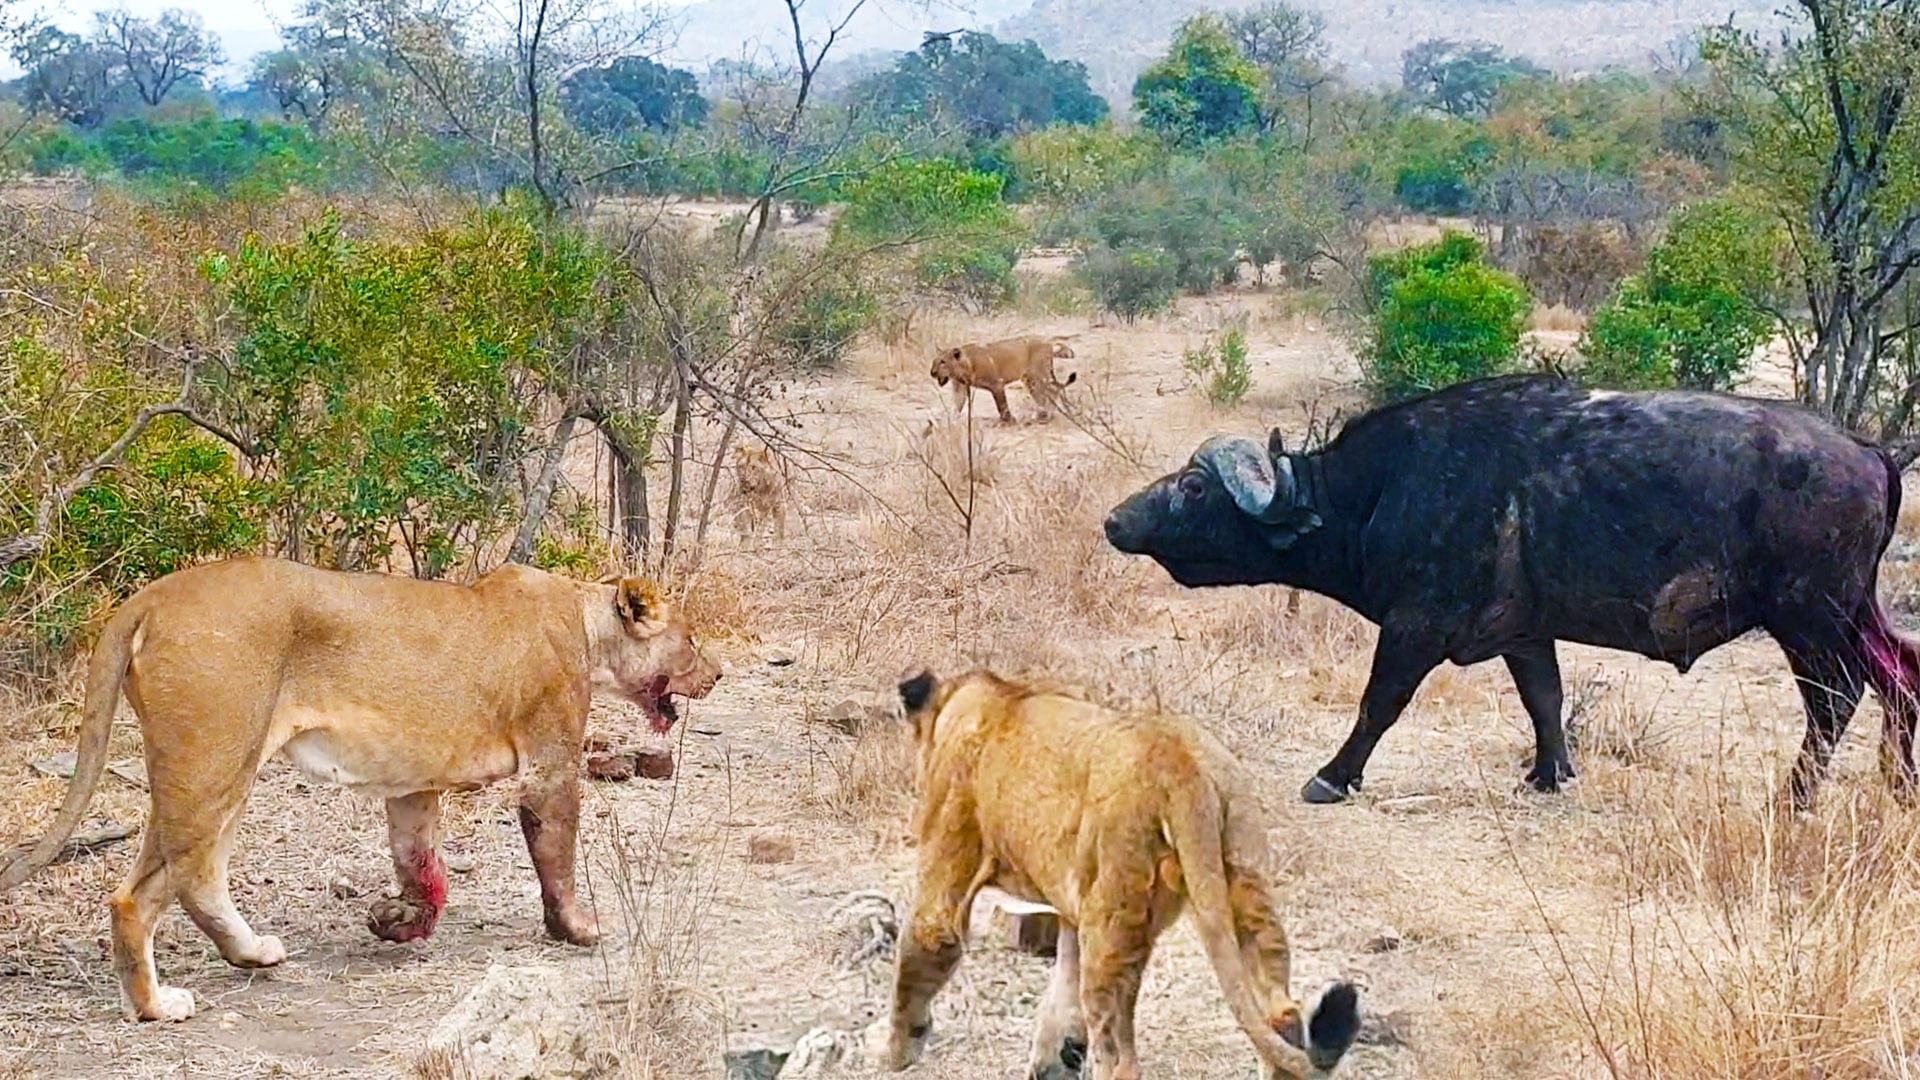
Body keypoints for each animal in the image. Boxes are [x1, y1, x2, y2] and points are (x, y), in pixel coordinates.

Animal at [0, 556, 720, 1023]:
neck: (585, 621)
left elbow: (420, 861)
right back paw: (160, 1004)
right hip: (216, 759)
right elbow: (558, 854)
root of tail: (149, 598)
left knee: (176, 877)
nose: (718, 672)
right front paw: (577, 929)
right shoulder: (550, 762)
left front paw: (399, 923)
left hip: (205, 768)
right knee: (160, 887)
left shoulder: (413, 785)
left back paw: (244, 956)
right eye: (690, 640)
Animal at [882, 669, 1360, 1080]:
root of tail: (1181, 767)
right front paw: (1053, 1063)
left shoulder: (948, 870)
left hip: (1112, 919)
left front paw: (895, 1055)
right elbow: (1061, 996)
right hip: (1244, 882)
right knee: (1281, 1013)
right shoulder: (1072, 908)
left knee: (1120, 1060)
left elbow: (920, 952)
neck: (979, 696)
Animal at [930, 336, 1078, 423]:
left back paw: (1043, 415)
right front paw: (951, 421)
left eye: (943, 362)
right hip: (1032, 378)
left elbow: (1002, 405)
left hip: (1036, 377)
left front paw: (1009, 420)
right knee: (1053, 389)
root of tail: (1048, 343)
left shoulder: (997, 383)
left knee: (1050, 390)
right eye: (934, 361)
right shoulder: (959, 388)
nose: (932, 373)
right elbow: (957, 405)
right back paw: (1048, 414)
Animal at [1104, 374, 1920, 808]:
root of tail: (1867, 450)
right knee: (1900, 678)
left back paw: (1795, 798)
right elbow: (1546, 701)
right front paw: (1550, 774)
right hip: (1857, 610)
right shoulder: (1528, 636)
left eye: (1194, 486)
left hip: (1808, 618)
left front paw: (1332, 777)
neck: (1376, 492)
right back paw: (1899, 784)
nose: (1115, 519)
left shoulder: (1415, 628)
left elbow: (1377, 704)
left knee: (1836, 699)